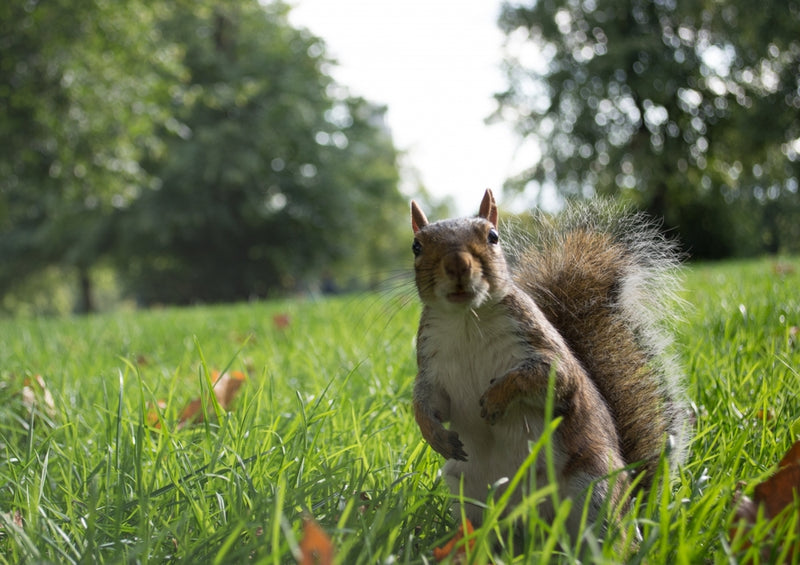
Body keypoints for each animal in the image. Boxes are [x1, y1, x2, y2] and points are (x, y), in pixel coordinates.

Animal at [410, 188, 692, 536]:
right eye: (416, 246)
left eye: (493, 237)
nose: (457, 265)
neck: (466, 321)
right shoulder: (432, 368)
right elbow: (428, 403)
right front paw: (435, 434)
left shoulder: (541, 346)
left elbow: (552, 379)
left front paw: (496, 398)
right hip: (466, 490)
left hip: (594, 485)